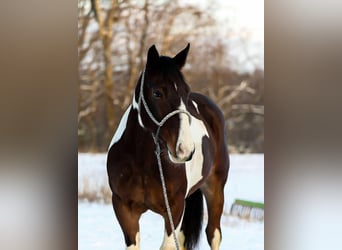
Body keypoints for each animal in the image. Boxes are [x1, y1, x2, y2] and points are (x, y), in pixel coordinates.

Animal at [107, 44, 230, 249]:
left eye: (186, 92)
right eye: (157, 93)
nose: (185, 150)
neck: (142, 161)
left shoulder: (174, 208)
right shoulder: (124, 209)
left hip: (215, 187)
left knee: (214, 234)